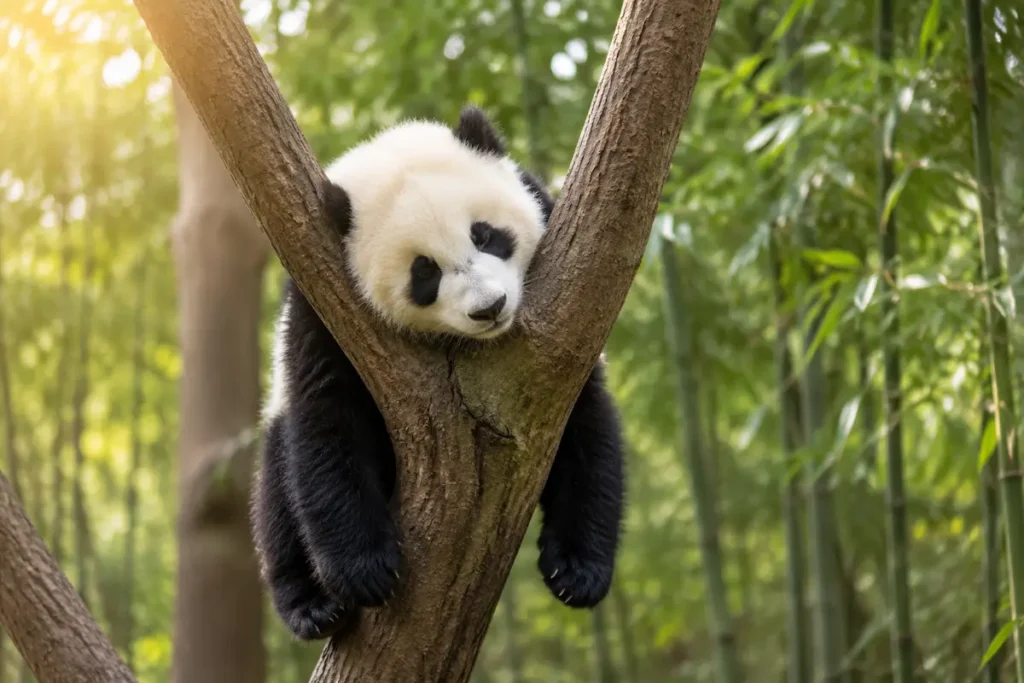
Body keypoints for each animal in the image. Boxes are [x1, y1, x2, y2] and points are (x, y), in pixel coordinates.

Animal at [251, 105, 625, 641]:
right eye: (424, 271)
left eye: (484, 234)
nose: (490, 308)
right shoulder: (322, 309)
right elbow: (328, 421)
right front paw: (366, 571)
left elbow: (585, 426)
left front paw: (578, 572)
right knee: (276, 501)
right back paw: (312, 607)